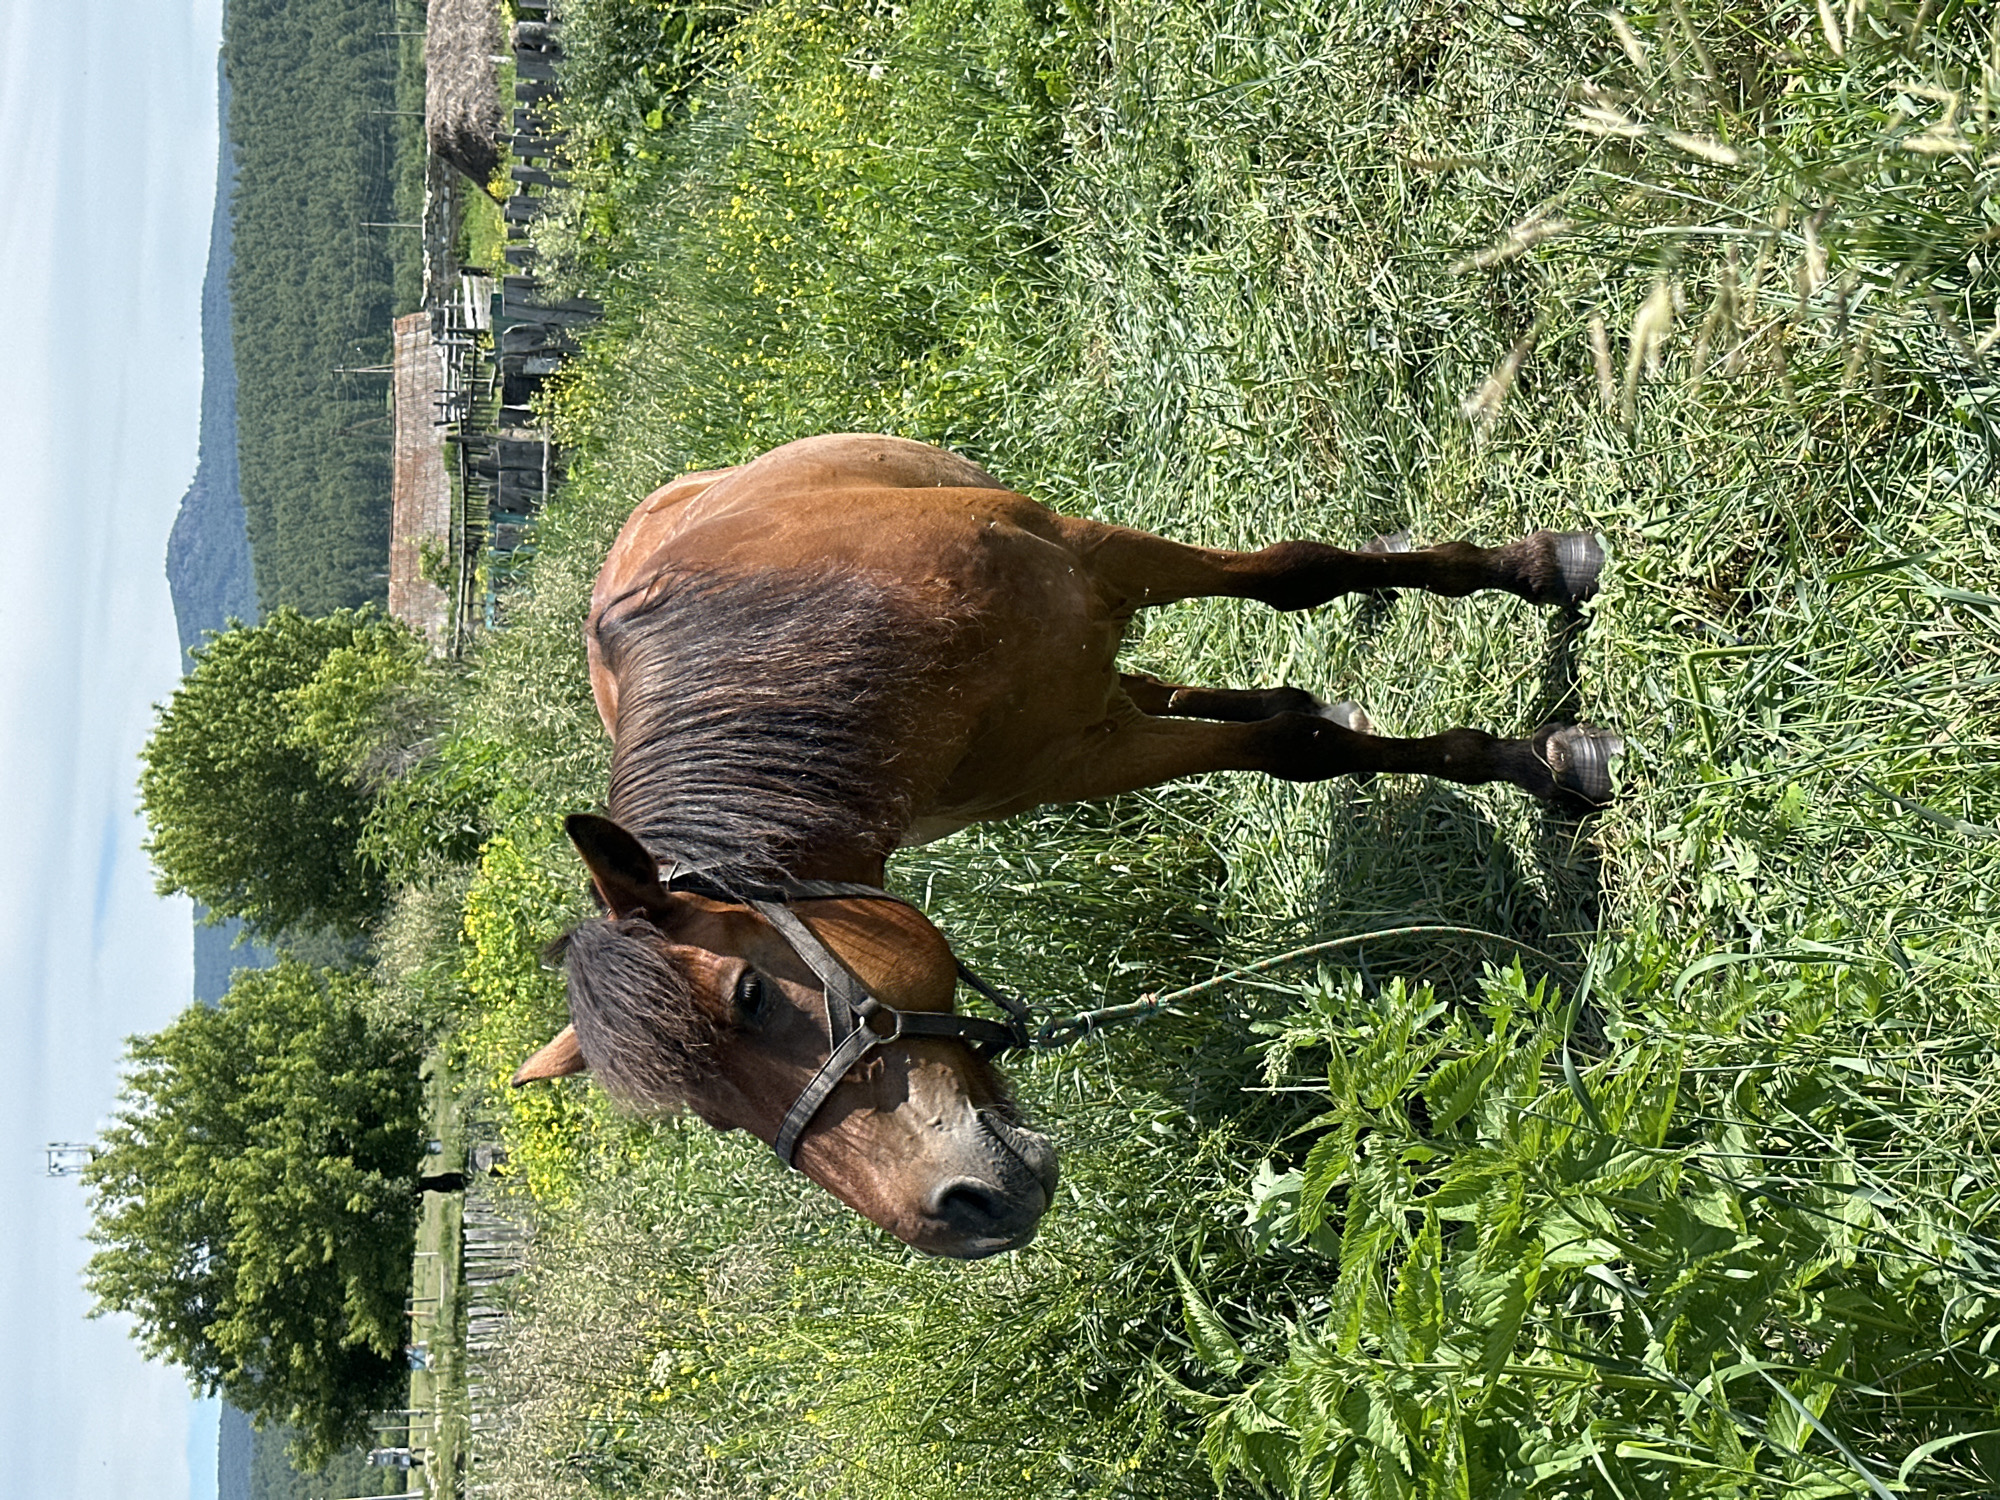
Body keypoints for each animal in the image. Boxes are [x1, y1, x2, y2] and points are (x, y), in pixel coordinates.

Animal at [512, 433, 1619, 1258]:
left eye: (750, 995)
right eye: (712, 1118)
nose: (962, 1217)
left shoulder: (1094, 556)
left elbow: (1295, 580)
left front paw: (1540, 664)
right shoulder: (1071, 759)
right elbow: (1286, 734)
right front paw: (1507, 750)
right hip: (1091, 708)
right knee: (1168, 694)